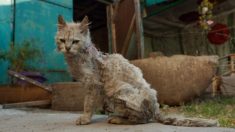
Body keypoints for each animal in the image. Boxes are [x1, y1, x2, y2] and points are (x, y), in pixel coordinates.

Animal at [55, 14, 218, 126]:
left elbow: (88, 104)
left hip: (117, 89)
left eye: (75, 41)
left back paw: (118, 119)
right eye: (62, 40)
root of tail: (156, 109)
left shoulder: (93, 84)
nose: (67, 48)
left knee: (142, 119)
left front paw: (85, 118)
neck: (78, 56)